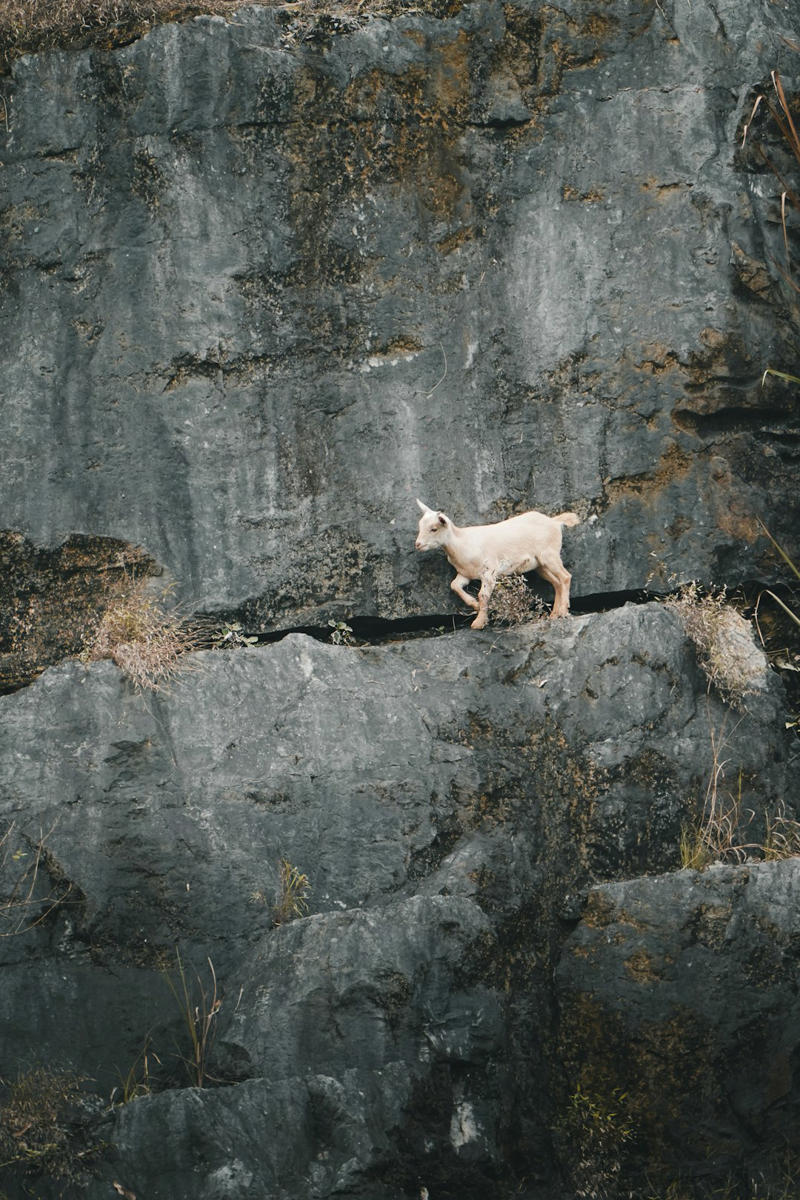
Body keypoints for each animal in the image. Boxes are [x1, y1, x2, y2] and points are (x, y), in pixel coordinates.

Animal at [415, 499, 579, 629]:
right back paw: (554, 614)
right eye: (420, 526)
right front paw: (474, 604)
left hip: (550, 555)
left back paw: (563, 611)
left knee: (565, 577)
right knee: (557, 582)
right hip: (541, 565)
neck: (462, 543)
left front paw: (479, 622)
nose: (418, 544)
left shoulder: (489, 572)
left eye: (434, 529)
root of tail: (555, 521)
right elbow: (454, 585)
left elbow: (483, 595)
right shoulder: (465, 573)